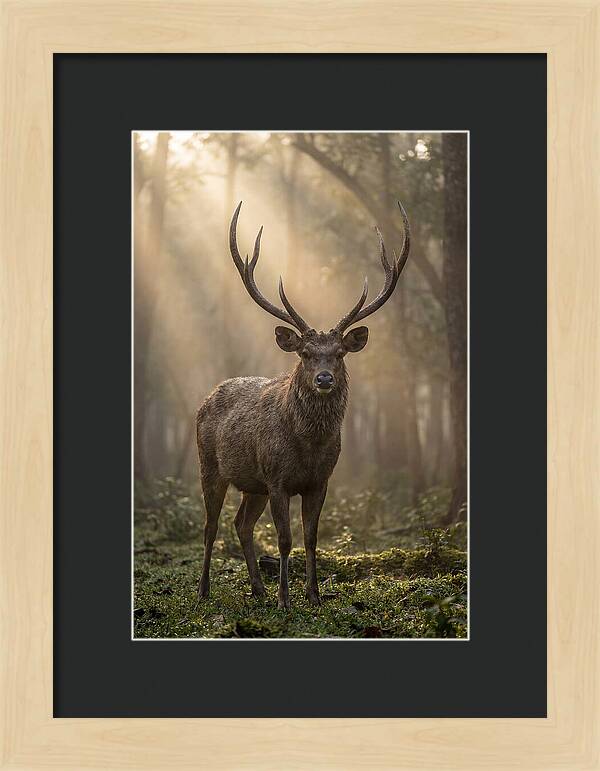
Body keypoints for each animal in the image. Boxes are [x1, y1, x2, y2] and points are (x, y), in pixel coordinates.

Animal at [196, 200, 410, 609]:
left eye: (340, 353)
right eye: (306, 354)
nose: (324, 379)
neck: (307, 447)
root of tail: (207, 396)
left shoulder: (320, 481)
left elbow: (311, 538)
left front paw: (313, 595)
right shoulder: (277, 478)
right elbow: (285, 539)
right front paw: (285, 600)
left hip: (253, 484)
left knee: (241, 524)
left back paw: (257, 588)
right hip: (211, 466)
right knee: (211, 525)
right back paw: (203, 591)